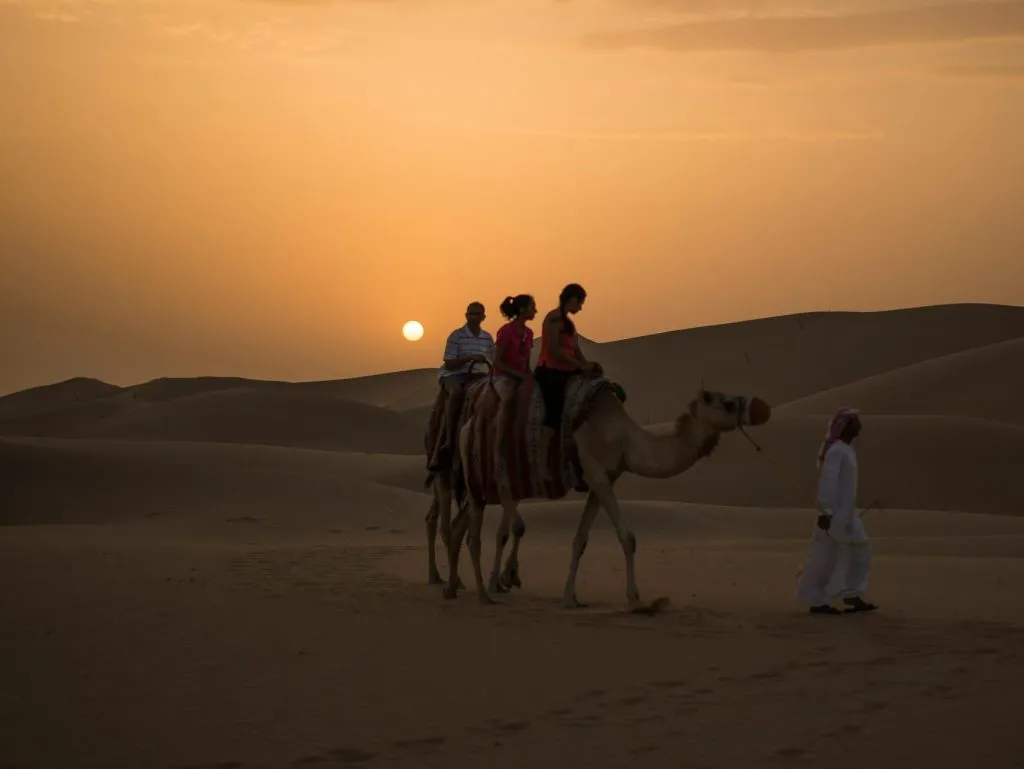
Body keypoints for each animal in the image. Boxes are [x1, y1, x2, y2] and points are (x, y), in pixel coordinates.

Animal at [445, 385, 771, 611]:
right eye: (727, 403)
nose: (762, 407)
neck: (624, 439)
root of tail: (466, 427)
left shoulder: (603, 480)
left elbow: (580, 540)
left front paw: (570, 597)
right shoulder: (598, 475)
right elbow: (628, 537)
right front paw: (636, 599)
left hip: (488, 486)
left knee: (466, 527)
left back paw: (455, 588)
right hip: (477, 477)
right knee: (482, 533)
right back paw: (486, 592)